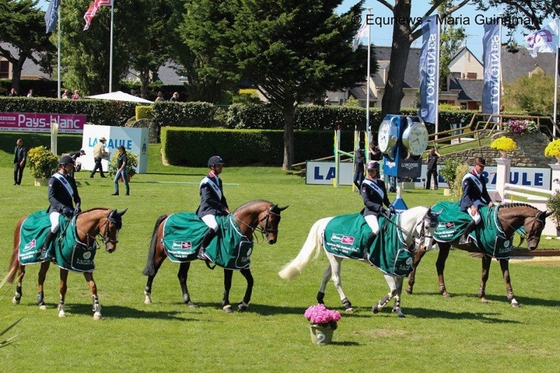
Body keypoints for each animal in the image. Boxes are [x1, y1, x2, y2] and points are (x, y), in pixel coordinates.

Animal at [142, 201, 288, 310]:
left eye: (279, 219)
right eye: (272, 218)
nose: (272, 240)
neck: (238, 228)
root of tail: (168, 216)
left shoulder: (240, 262)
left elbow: (251, 281)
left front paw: (243, 304)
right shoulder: (229, 262)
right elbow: (228, 283)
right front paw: (227, 305)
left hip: (185, 256)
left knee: (182, 276)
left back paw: (189, 302)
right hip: (161, 253)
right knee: (154, 271)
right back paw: (148, 297)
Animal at [278, 206, 440, 316]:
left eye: (436, 227)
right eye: (426, 226)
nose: (426, 247)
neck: (398, 233)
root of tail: (326, 221)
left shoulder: (398, 268)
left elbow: (398, 290)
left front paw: (398, 310)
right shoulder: (386, 268)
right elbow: (393, 290)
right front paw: (377, 307)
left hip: (337, 255)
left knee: (326, 275)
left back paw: (321, 299)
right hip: (334, 257)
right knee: (336, 279)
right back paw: (347, 304)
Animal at [406, 202, 552, 306]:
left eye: (543, 227)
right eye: (538, 226)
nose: (532, 247)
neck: (501, 224)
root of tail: (434, 208)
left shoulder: (503, 254)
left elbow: (506, 276)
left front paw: (513, 299)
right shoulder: (487, 254)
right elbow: (485, 275)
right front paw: (482, 296)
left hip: (445, 244)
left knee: (439, 264)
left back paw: (444, 291)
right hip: (432, 241)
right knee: (416, 260)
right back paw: (409, 287)